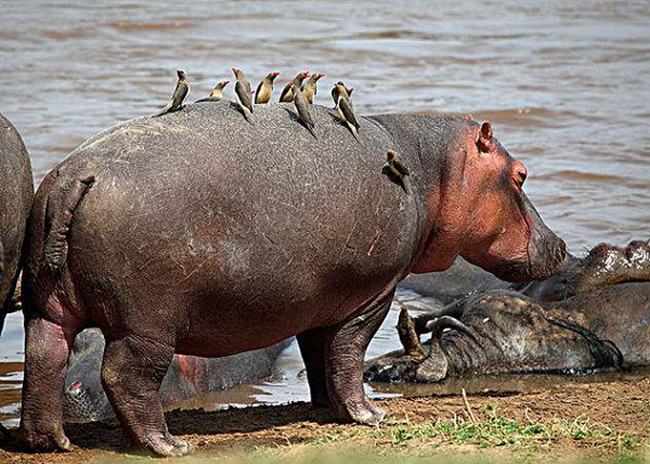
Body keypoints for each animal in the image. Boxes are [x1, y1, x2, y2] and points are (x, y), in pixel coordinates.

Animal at [15, 102, 560, 456]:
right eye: (521, 174)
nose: (561, 245)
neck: (434, 168)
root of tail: (75, 175)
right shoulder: (372, 295)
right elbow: (348, 356)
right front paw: (369, 415)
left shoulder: (324, 300)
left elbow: (321, 359)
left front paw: (324, 409)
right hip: (147, 323)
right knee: (124, 376)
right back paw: (169, 445)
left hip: (49, 307)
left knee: (44, 358)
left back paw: (52, 442)